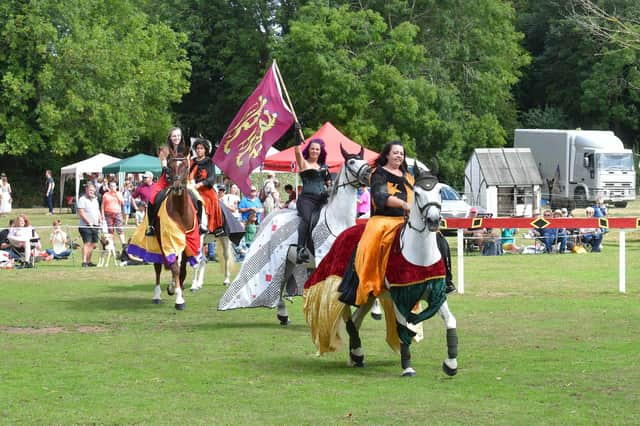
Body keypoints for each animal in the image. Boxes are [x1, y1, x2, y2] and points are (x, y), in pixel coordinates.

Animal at [219, 146, 370, 322]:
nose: (368, 172)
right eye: (352, 161)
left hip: (288, 262)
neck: (337, 219)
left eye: (364, 160)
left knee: (281, 283)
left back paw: (282, 314)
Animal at [304, 166, 458, 376]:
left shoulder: (436, 293)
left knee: (355, 320)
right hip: (341, 287)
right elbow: (402, 330)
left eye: (440, 191)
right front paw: (407, 367)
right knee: (347, 317)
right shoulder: (400, 296)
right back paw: (356, 353)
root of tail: (344, 232)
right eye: (418, 193)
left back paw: (355, 356)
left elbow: (451, 322)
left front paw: (451, 364)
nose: (433, 220)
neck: (420, 255)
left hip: (369, 295)